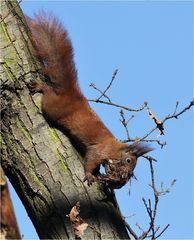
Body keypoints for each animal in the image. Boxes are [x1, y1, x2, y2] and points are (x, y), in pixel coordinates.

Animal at [27, 13, 152, 189]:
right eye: (129, 161)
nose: (126, 176)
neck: (115, 148)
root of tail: (71, 93)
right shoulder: (100, 149)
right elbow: (91, 160)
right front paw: (89, 175)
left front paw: (100, 175)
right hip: (51, 107)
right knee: (48, 94)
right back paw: (41, 86)